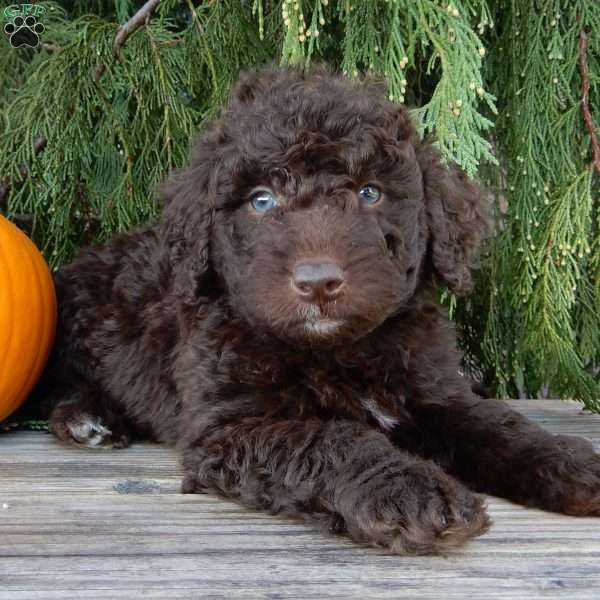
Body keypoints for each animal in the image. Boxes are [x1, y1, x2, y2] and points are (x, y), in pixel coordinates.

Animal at [39, 65, 596, 552]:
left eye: (370, 192)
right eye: (261, 200)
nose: (318, 283)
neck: (337, 350)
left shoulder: (433, 389)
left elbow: (493, 424)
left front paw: (567, 460)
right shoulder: (237, 425)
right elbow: (333, 442)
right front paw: (411, 491)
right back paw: (88, 418)